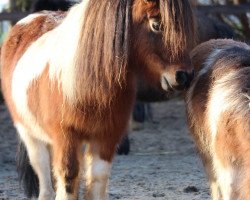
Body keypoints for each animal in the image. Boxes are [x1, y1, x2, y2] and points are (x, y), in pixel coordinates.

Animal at [0, 0, 195, 199]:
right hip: (29, 134)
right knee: (44, 174)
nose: (184, 76)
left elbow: (98, 177)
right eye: (156, 25)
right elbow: (69, 177)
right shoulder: (65, 136)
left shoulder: (106, 136)